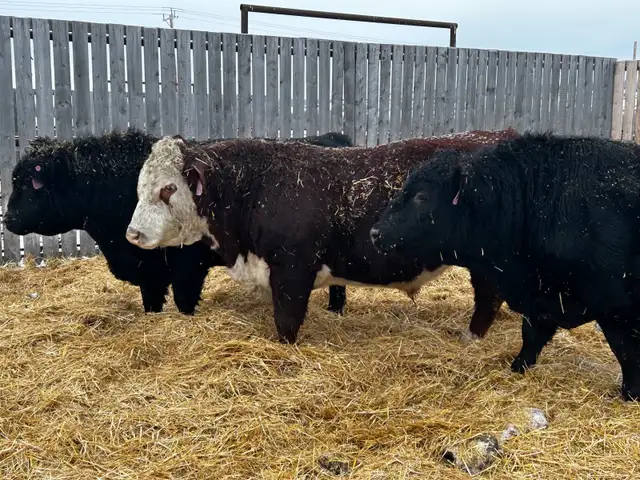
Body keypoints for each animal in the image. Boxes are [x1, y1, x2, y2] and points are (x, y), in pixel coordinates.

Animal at [3, 129, 352, 315]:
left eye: (29, 186)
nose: (7, 218)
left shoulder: (188, 265)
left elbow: (185, 301)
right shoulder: (151, 272)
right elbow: (152, 303)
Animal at [125, 129, 520, 344]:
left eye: (168, 188)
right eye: (140, 186)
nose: (133, 233)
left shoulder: (292, 270)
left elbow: (286, 322)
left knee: (488, 297)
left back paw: (471, 337)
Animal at [370, 132, 640, 401]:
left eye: (422, 196)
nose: (375, 233)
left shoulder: (614, 307)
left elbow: (625, 351)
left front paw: (630, 394)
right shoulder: (542, 297)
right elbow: (531, 337)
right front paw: (518, 367)